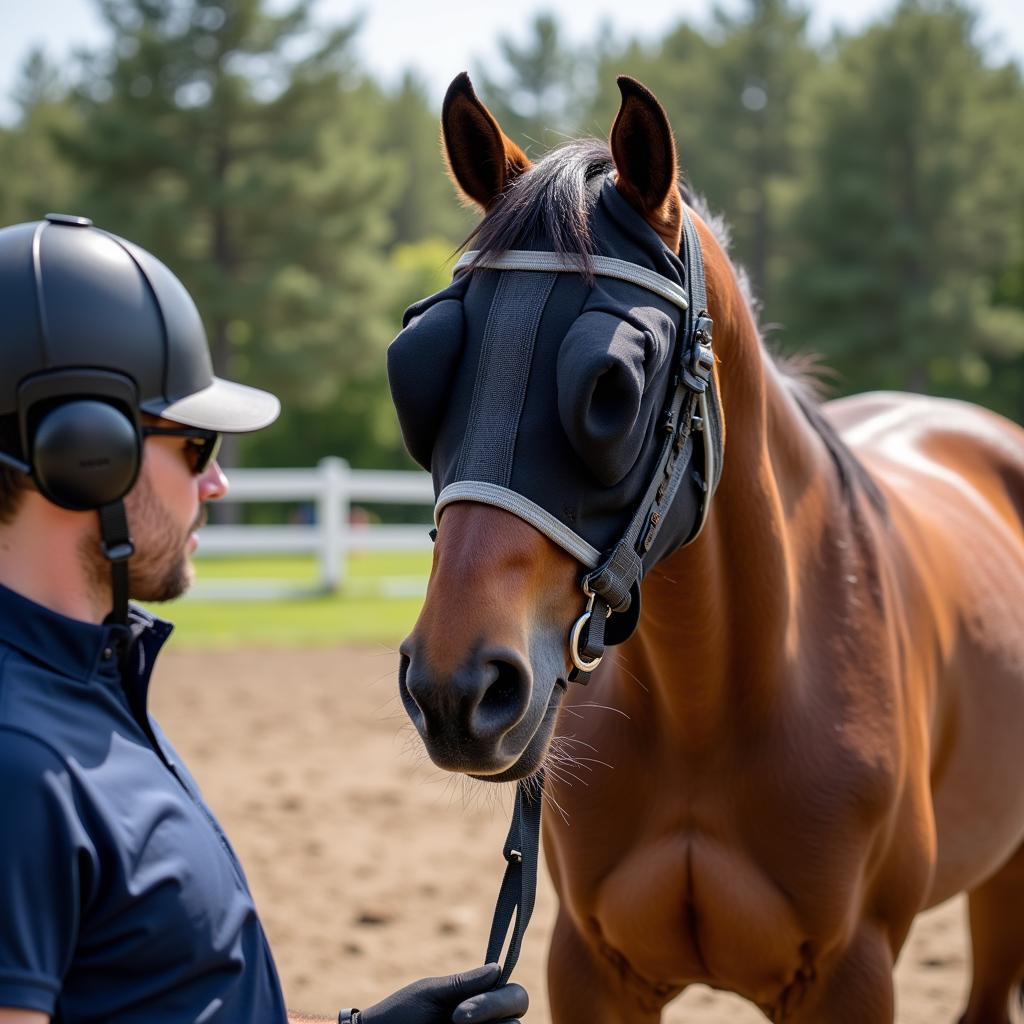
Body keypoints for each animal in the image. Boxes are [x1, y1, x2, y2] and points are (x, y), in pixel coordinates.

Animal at [387, 74, 1024, 1024]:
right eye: (416, 366)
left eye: (611, 389)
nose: (457, 690)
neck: (711, 708)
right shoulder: (591, 967)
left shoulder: (852, 973)